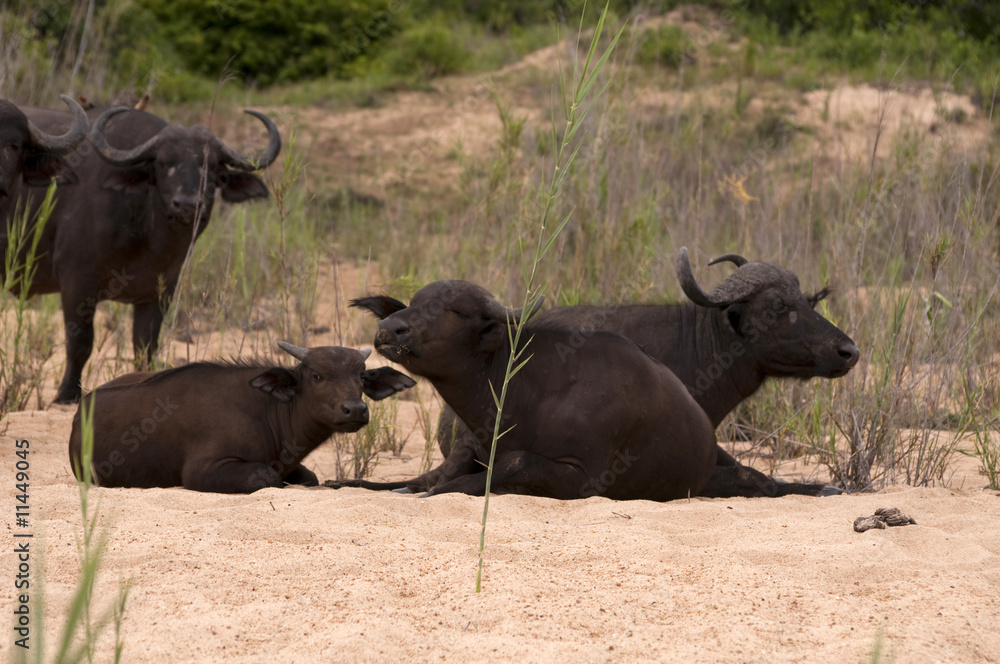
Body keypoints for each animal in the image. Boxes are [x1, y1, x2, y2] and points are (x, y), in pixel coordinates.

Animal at [17, 104, 282, 404]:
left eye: (213, 167)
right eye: (164, 163)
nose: (187, 204)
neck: (148, 238)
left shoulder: (158, 293)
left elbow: (145, 348)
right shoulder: (76, 283)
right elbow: (80, 342)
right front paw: (66, 394)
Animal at [68, 342, 414, 492]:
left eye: (361, 376)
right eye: (317, 375)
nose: (355, 409)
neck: (266, 410)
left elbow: (310, 477)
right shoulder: (201, 470)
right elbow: (267, 478)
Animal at [324, 278, 724, 500]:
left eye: (457, 311)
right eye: (414, 302)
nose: (389, 329)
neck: (529, 393)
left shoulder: (583, 477)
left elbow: (509, 464)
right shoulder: (469, 448)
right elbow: (425, 478)